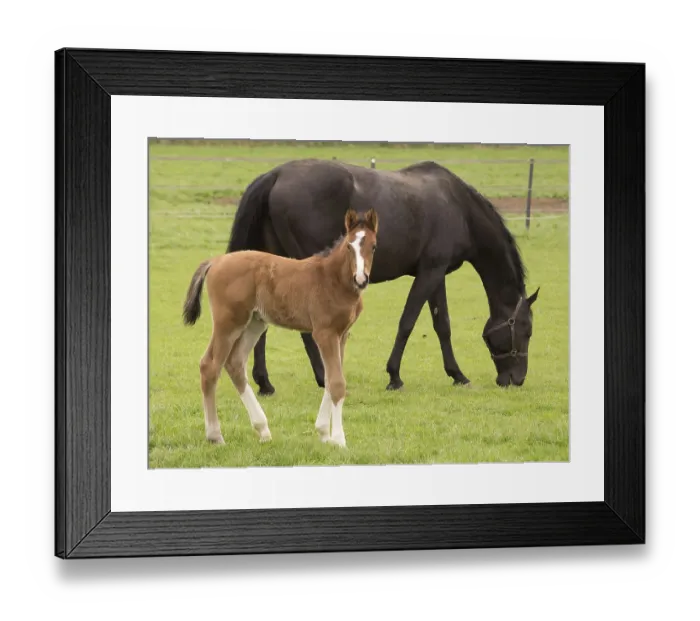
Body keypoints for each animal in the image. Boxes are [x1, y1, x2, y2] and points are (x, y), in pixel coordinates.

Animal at [182, 207, 379, 448]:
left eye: (373, 246)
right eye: (349, 246)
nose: (361, 279)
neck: (333, 279)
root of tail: (215, 261)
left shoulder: (342, 334)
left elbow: (332, 379)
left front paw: (324, 433)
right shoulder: (324, 333)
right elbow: (336, 383)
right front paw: (339, 440)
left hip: (254, 323)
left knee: (235, 364)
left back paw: (263, 430)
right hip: (228, 323)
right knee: (209, 366)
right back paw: (215, 435)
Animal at [225, 158, 540, 396]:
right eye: (526, 331)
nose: (517, 379)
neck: (458, 207)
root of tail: (276, 174)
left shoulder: (436, 274)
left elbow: (442, 325)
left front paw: (457, 374)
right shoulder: (430, 272)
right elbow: (407, 322)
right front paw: (394, 376)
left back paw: (265, 383)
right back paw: (323, 376)